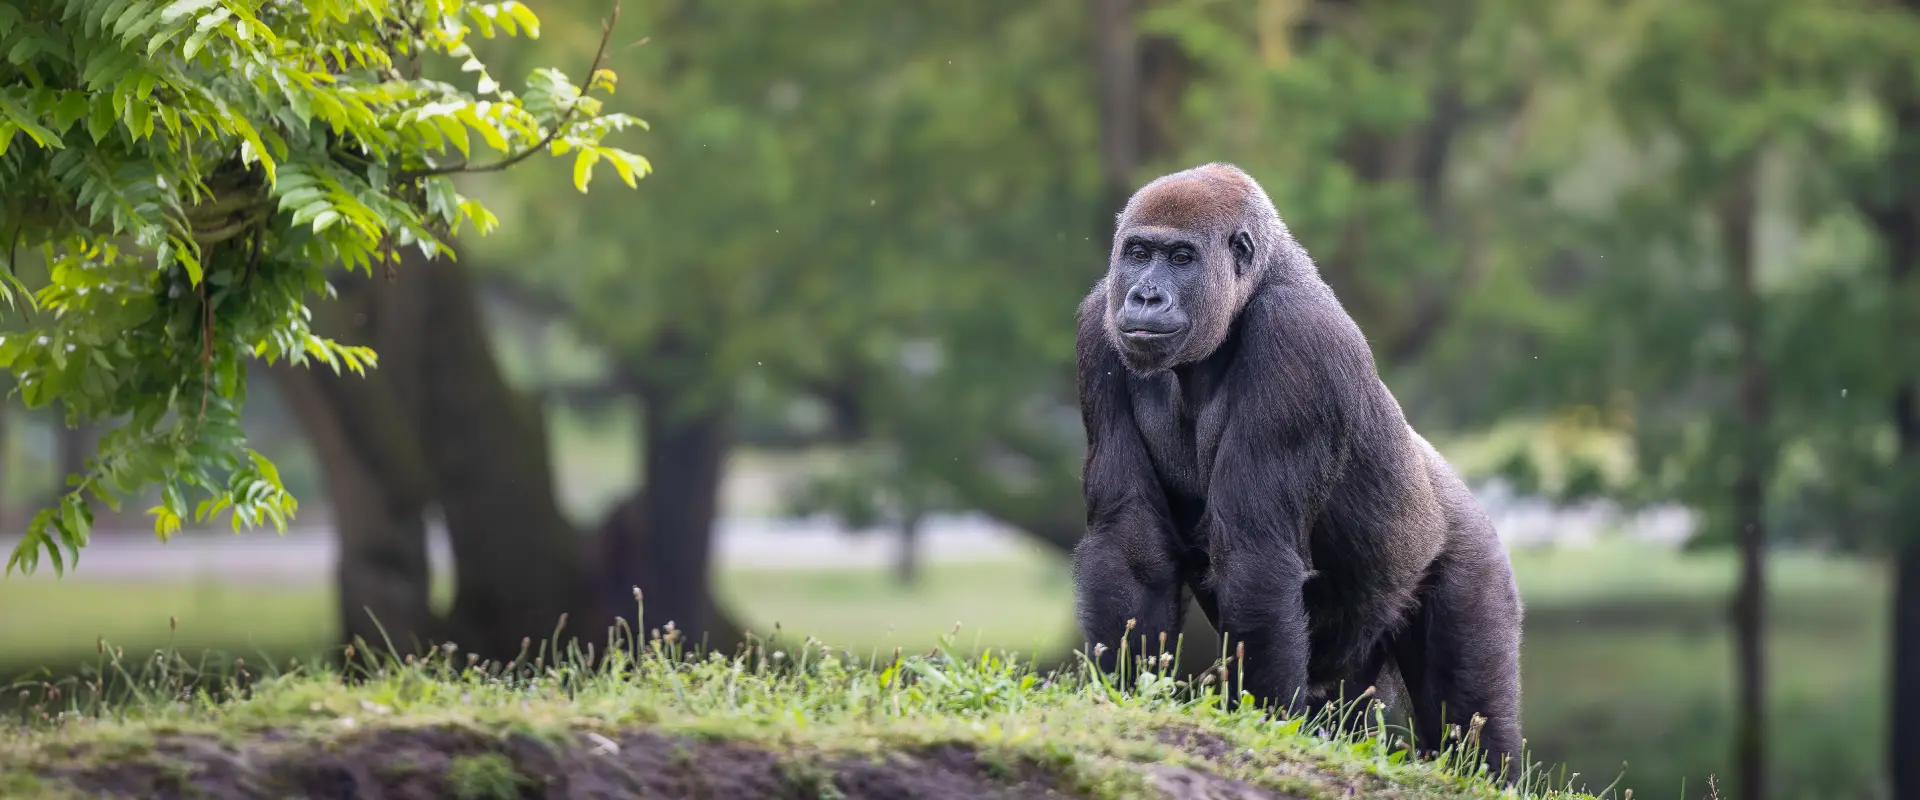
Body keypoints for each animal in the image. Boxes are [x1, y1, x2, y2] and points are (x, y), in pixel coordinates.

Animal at [1075, 160, 1520, 775]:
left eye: (1182, 258)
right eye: (1139, 253)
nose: (1144, 296)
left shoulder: (1299, 339)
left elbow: (1255, 554)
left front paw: (1261, 721)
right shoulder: (1099, 328)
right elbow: (1130, 542)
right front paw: (1122, 692)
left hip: (1474, 556)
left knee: (1473, 715)